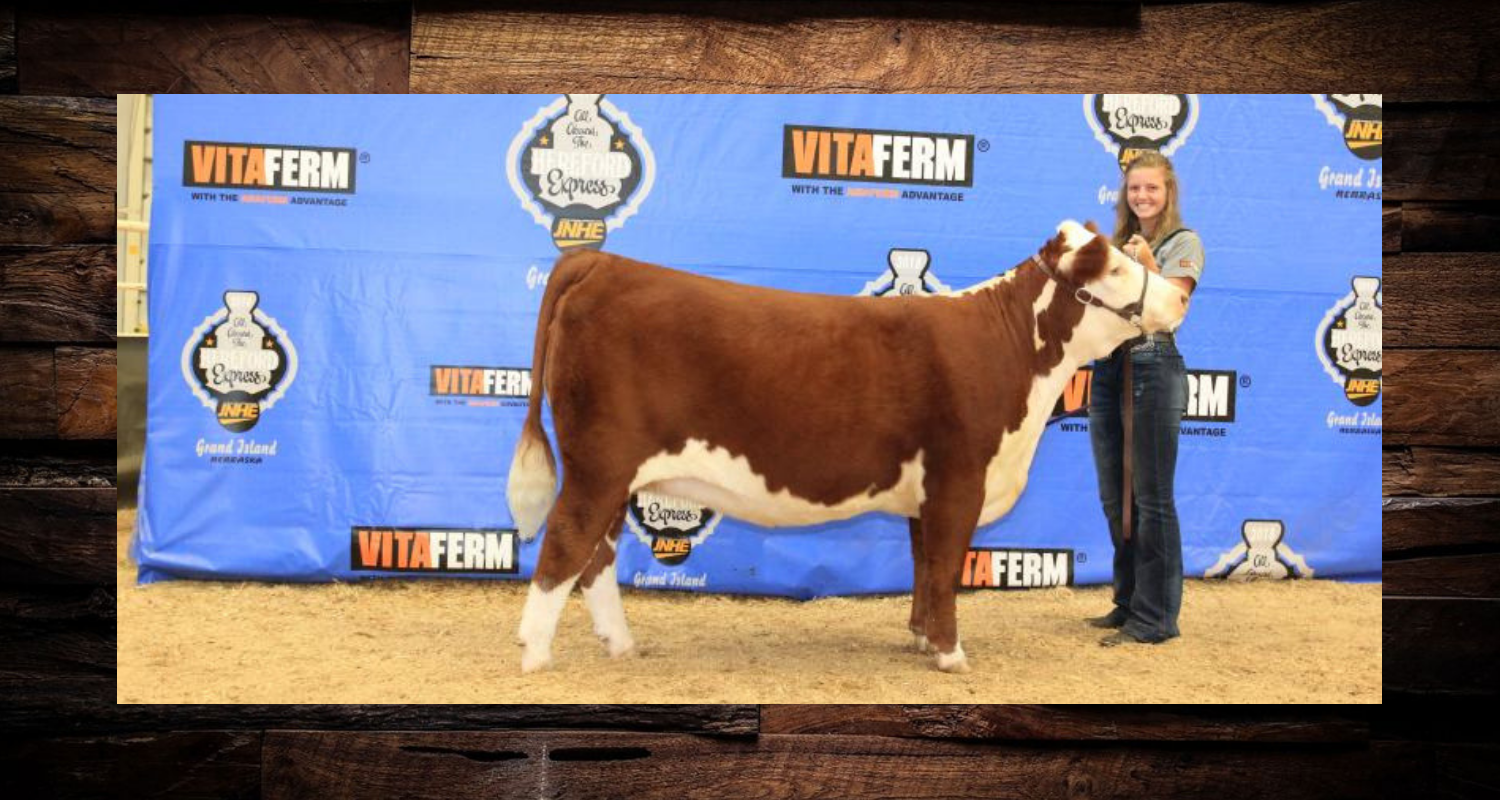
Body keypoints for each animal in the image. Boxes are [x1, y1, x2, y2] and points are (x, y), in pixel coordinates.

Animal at [507, 220, 1189, 673]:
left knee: (596, 556)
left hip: (616, 474)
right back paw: (535, 657)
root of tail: (603, 264)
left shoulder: (927, 492)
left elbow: (923, 565)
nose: (1182, 294)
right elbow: (946, 566)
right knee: (565, 543)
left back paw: (619, 644)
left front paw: (921, 638)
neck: (1012, 349)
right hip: (599, 463)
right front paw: (951, 656)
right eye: (1118, 269)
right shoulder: (960, 478)